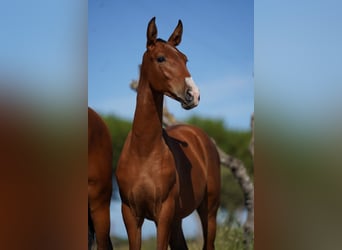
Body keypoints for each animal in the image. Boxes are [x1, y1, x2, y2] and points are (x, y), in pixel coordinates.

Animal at [115, 16, 222, 249]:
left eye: (185, 59)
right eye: (161, 58)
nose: (193, 95)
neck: (143, 152)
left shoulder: (163, 214)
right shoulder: (130, 215)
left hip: (208, 210)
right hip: (177, 219)